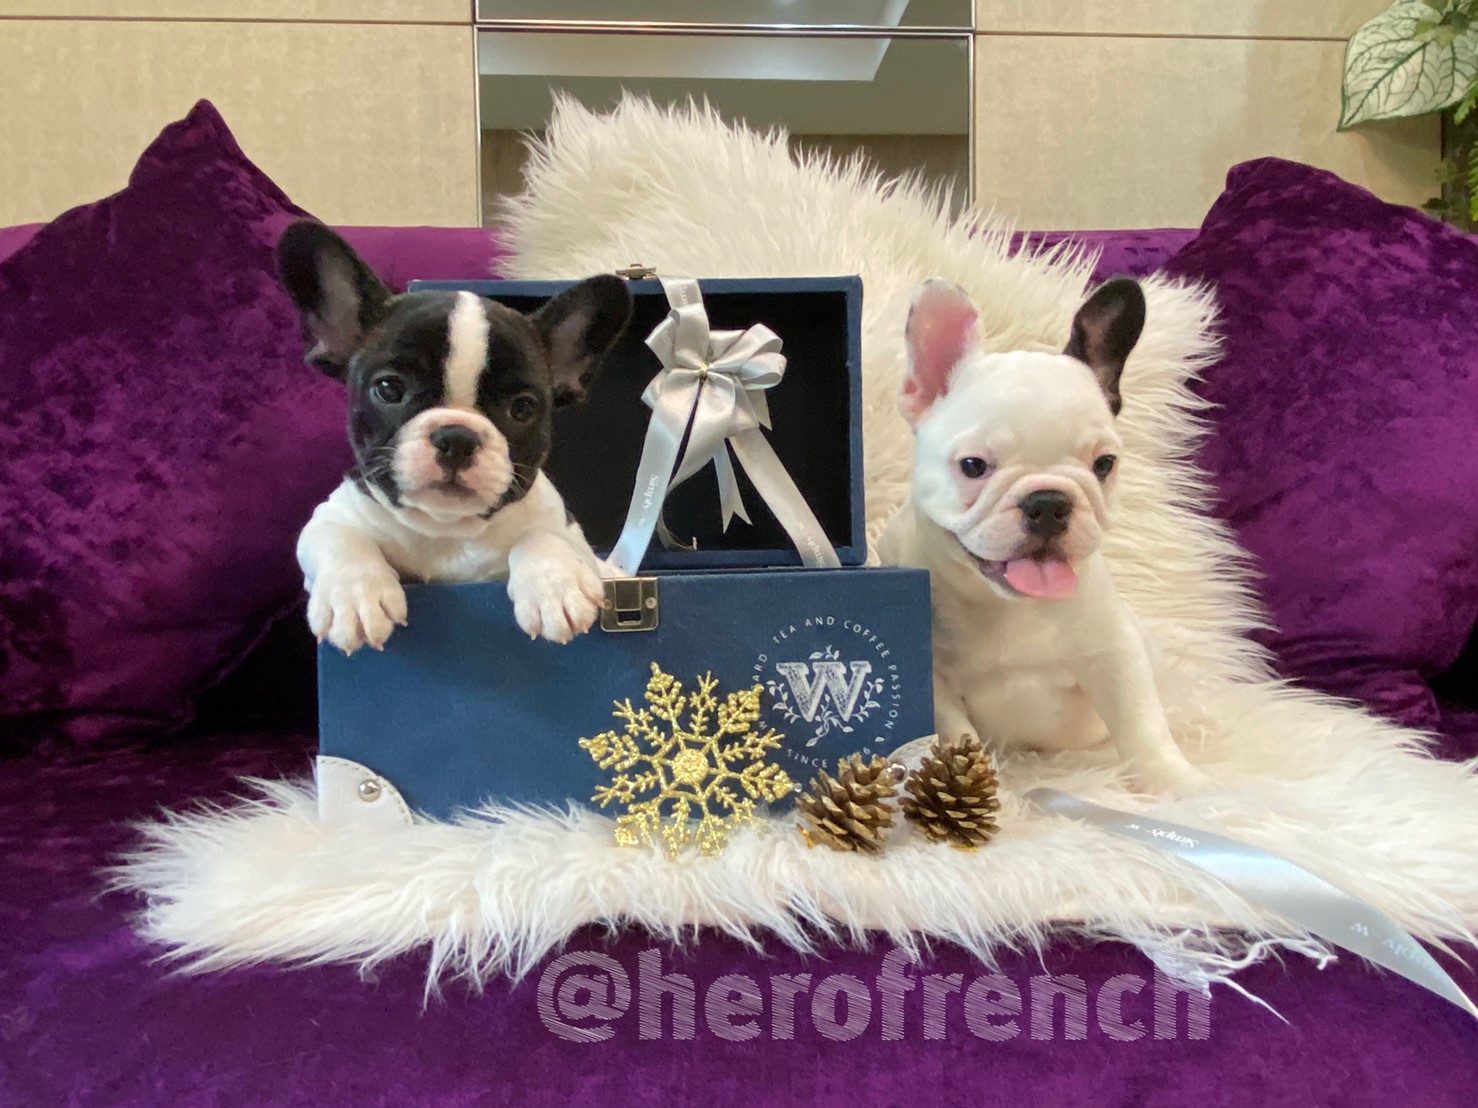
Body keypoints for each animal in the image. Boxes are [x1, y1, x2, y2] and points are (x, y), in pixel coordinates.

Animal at [276, 220, 632, 654]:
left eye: (522, 408)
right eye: (389, 389)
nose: (457, 438)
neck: (447, 529)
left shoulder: (563, 528)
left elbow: (543, 535)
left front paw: (555, 585)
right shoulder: (335, 512)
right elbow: (338, 536)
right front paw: (354, 597)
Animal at [877, 277, 1206, 793]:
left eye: (1104, 464)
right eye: (973, 466)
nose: (1049, 502)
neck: (1008, 607)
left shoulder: (1116, 653)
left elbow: (1142, 724)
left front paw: (1177, 784)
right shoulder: (937, 687)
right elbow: (958, 734)